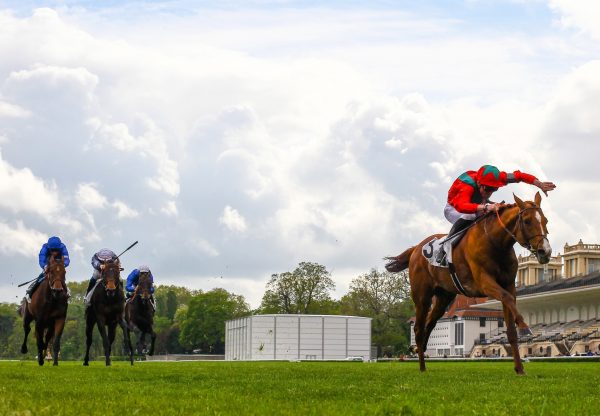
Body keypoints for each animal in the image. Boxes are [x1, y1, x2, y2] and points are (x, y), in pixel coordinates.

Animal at [386, 193, 552, 376]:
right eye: (528, 221)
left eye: (545, 220)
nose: (546, 251)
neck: (495, 242)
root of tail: (416, 248)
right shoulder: (484, 282)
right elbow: (507, 298)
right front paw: (524, 327)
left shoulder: (508, 284)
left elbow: (510, 326)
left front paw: (519, 369)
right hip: (422, 296)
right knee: (418, 328)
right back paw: (421, 367)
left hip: (444, 298)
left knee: (429, 325)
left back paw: (419, 355)